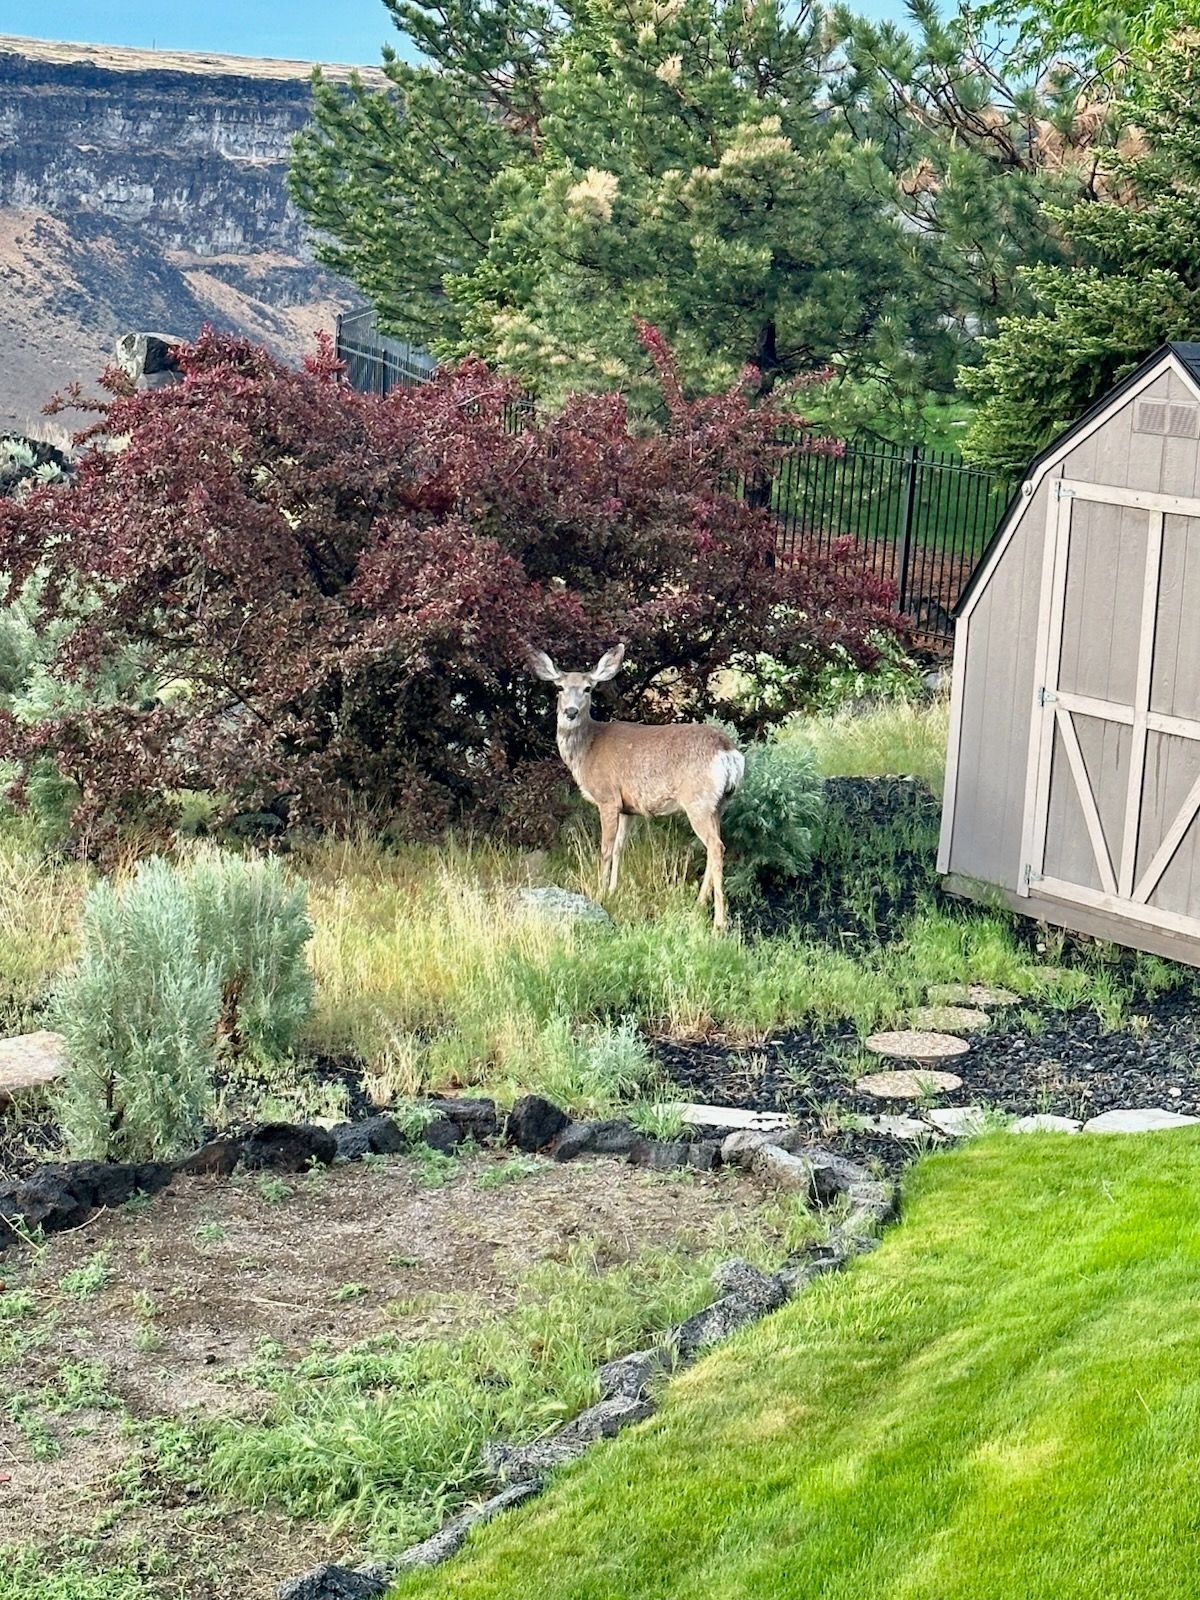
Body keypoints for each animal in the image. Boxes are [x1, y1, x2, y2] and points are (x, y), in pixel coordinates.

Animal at [525, 642, 745, 931]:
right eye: (559, 687)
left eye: (588, 688)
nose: (570, 712)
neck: (587, 750)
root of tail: (728, 752)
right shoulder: (628, 808)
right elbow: (620, 847)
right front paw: (613, 890)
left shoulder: (608, 798)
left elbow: (605, 849)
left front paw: (599, 892)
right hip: (720, 804)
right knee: (715, 846)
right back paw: (698, 905)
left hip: (698, 801)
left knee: (716, 847)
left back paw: (719, 922)